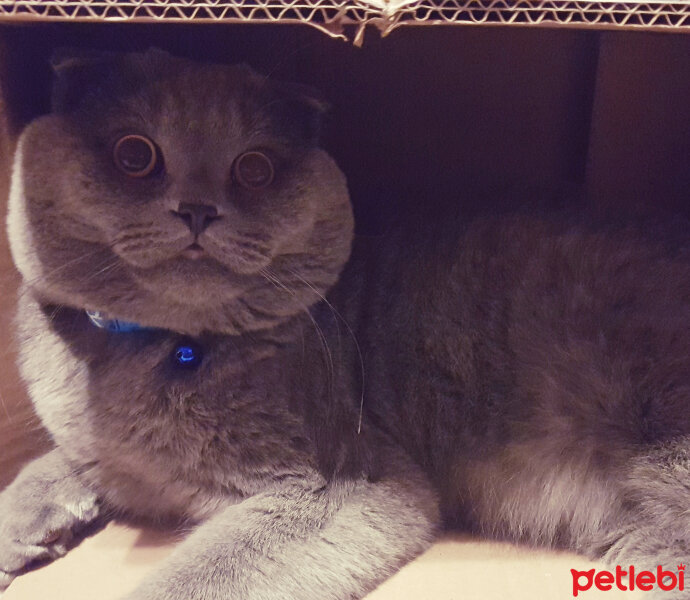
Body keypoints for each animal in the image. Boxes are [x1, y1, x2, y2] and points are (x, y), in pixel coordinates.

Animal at [1, 48, 688, 600]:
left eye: (254, 169)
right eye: (134, 155)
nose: (197, 208)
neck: (152, 349)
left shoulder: (336, 487)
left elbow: (195, 576)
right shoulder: (102, 452)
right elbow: (56, 460)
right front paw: (19, 523)